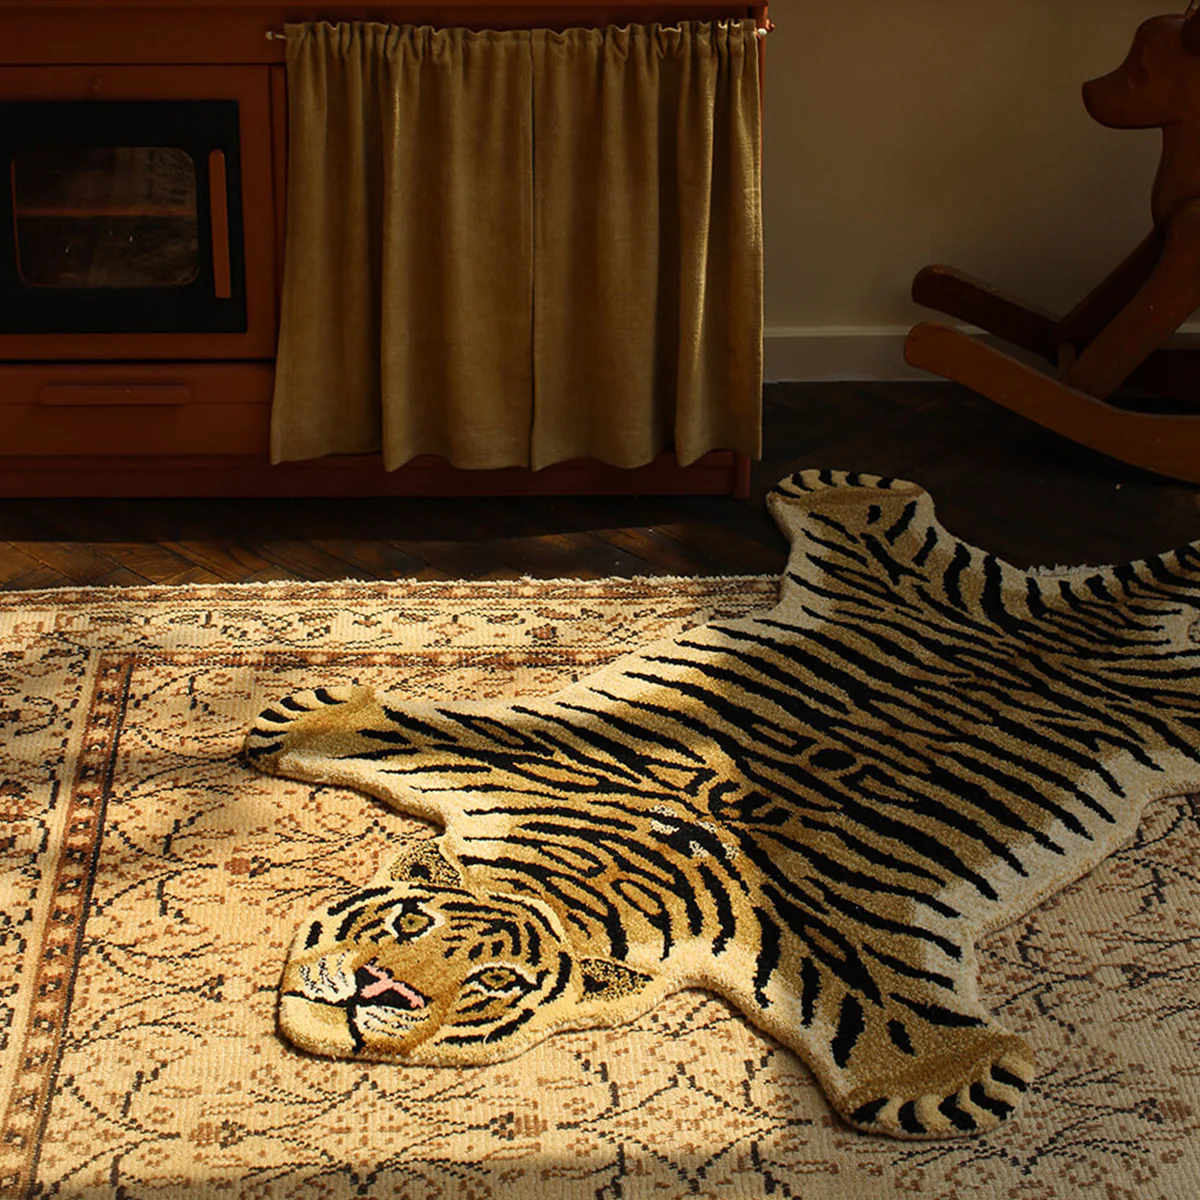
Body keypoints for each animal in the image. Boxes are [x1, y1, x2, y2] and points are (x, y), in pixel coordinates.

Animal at [244, 468, 1200, 1140]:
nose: (377, 991)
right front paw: (313, 719)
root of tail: (1075, 612)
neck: (584, 881)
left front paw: (943, 1079)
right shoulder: (523, 759)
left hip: (1169, 720)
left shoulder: (818, 923)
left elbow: (878, 1006)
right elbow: (402, 729)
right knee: (890, 535)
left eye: (495, 982)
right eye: (409, 923)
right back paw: (842, 491)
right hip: (897, 584)